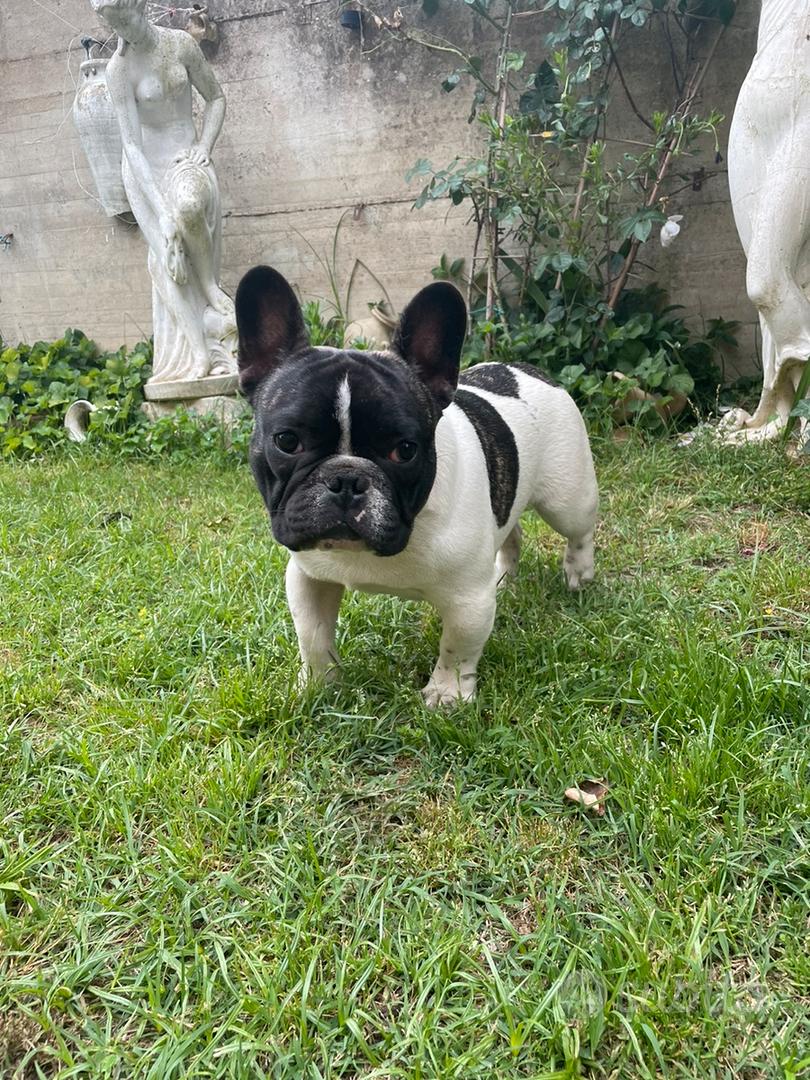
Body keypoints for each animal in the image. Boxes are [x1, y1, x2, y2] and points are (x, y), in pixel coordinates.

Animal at [234, 267, 596, 708]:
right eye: (287, 441)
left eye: (404, 450)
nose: (346, 479)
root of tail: (528, 370)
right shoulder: (308, 578)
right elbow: (313, 637)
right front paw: (318, 686)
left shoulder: (468, 602)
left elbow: (458, 647)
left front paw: (447, 695)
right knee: (511, 532)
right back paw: (504, 576)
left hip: (566, 498)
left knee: (579, 531)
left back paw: (579, 572)